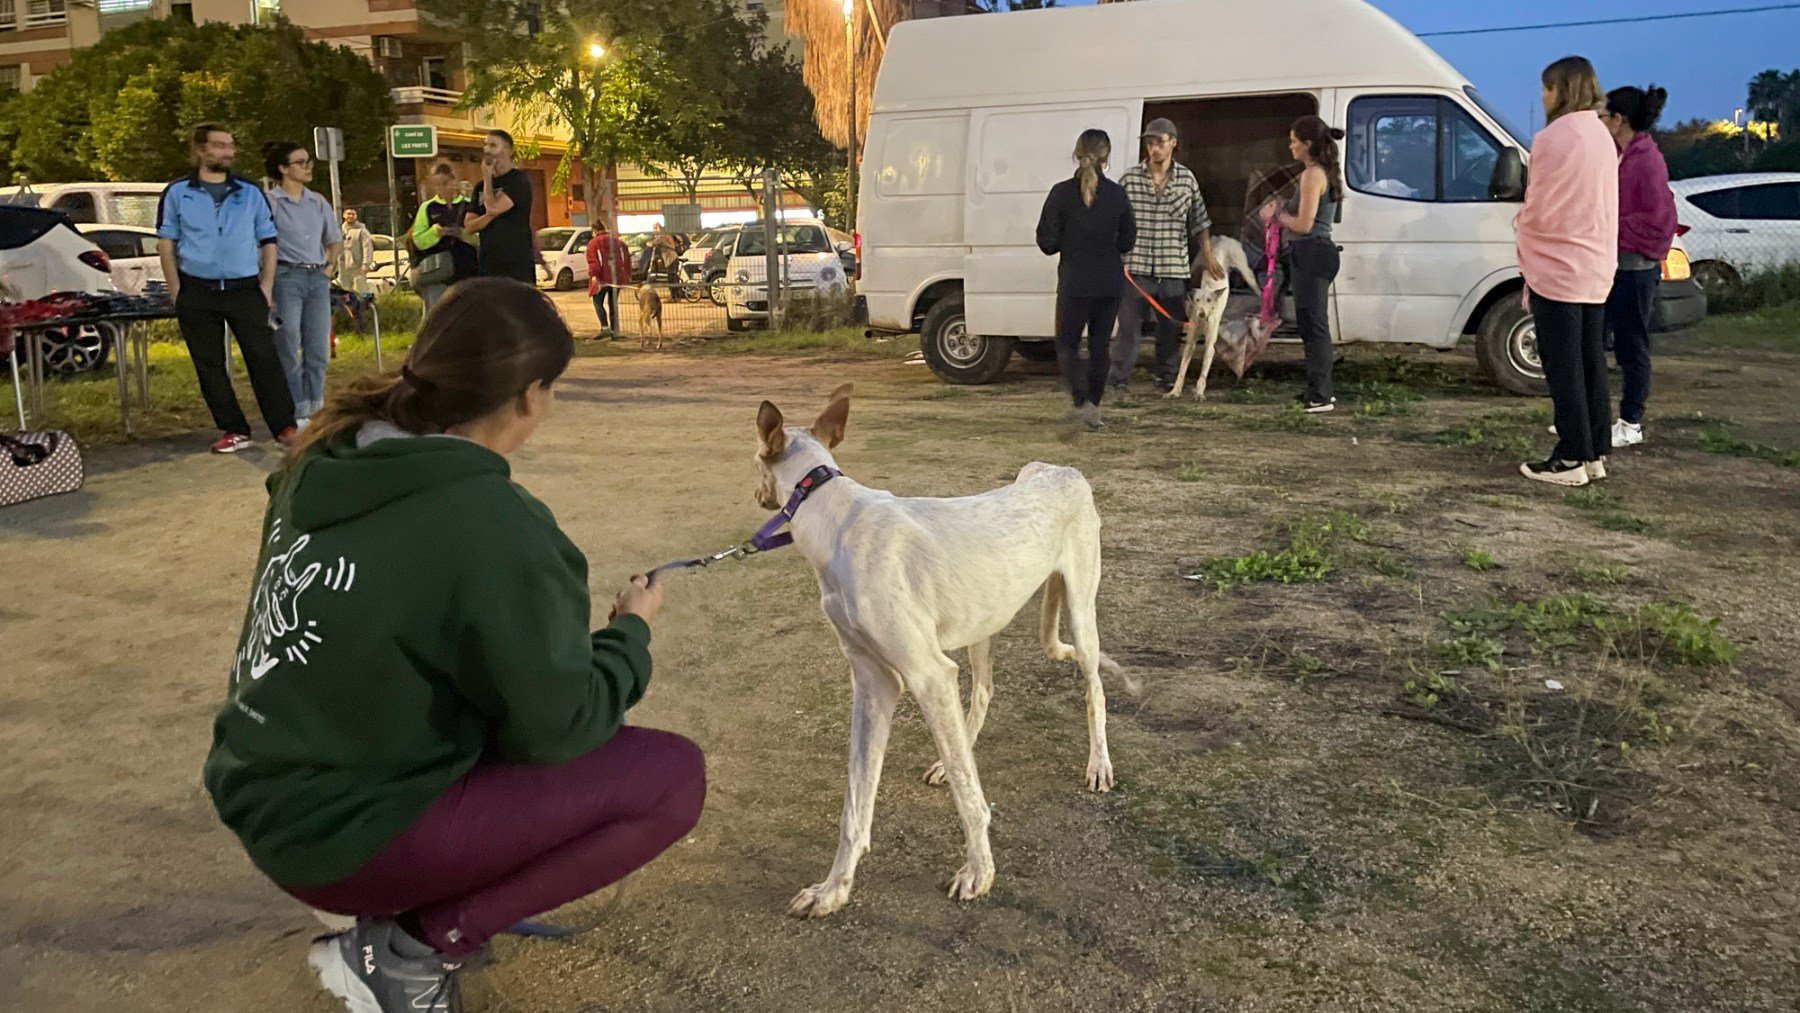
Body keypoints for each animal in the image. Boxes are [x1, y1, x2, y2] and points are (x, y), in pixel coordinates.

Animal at [752, 383, 1130, 921]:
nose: (758, 496)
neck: (830, 513)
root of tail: (1058, 468)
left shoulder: (927, 674)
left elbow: (968, 796)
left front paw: (979, 873)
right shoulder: (874, 683)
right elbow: (856, 805)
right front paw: (834, 889)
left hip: (1080, 611)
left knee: (1094, 690)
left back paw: (1099, 765)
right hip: (981, 623)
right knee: (985, 692)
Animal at [1166, 237, 1252, 401]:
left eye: (1209, 300)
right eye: (1197, 300)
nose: (1201, 314)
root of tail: (1221, 239)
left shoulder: (1210, 345)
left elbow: (1203, 373)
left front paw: (1199, 393)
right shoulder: (1190, 343)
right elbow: (1182, 370)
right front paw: (1174, 391)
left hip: (1244, 267)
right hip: (1196, 264)